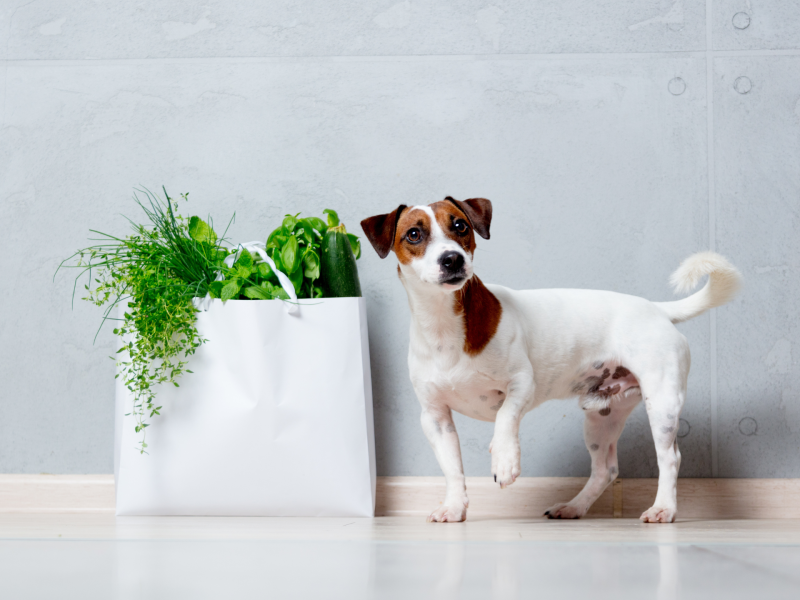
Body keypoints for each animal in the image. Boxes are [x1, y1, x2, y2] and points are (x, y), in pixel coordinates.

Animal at [360, 198, 740, 524]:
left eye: (460, 226)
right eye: (414, 234)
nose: (452, 259)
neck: (444, 324)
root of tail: (657, 309)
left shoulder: (521, 385)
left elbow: (505, 418)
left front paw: (505, 459)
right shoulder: (435, 417)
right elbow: (453, 468)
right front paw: (454, 507)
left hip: (662, 404)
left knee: (670, 458)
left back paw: (663, 509)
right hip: (602, 416)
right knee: (605, 470)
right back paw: (574, 507)